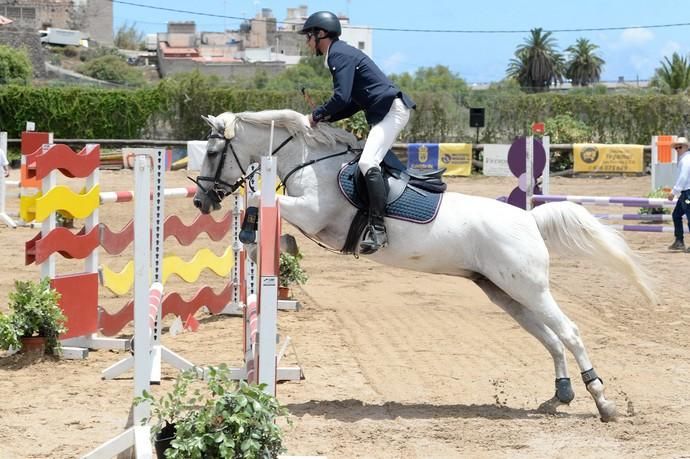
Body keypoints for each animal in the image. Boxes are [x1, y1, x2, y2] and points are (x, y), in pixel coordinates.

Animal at [191, 109, 652, 422]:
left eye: (212, 151)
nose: (201, 201)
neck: (311, 161)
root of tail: (529, 219)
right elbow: (258, 208)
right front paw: (268, 243)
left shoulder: (312, 212)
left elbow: (257, 200)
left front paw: (268, 242)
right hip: (505, 291)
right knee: (551, 339)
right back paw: (560, 396)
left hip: (529, 288)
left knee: (569, 333)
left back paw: (603, 401)